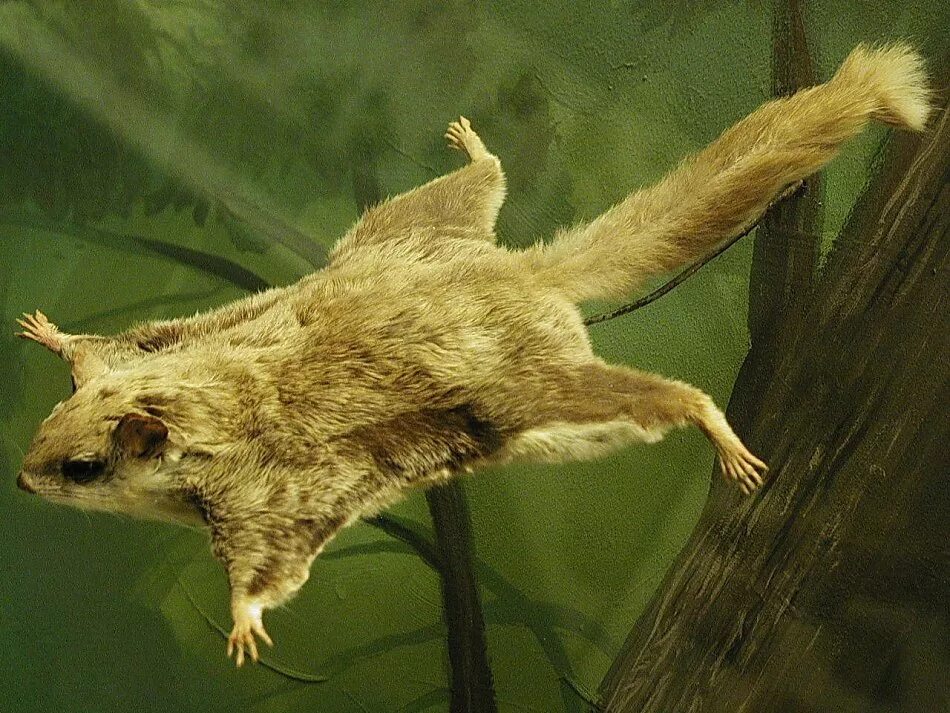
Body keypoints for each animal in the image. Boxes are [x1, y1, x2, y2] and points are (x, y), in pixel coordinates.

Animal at [15, 45, 931, 667]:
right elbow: (111, 344)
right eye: (47, 425)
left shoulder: (274, 495)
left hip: (540, 395)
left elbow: (266, 562)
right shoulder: (170, 346)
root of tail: (521, 273)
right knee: (481, 182)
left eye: (84, 467)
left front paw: (242, 622)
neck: (203, 400)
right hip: (410, 225)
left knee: (667, 397)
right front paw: (51, 334)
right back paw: (472, 144)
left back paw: (724, 438)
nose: (20, 480)